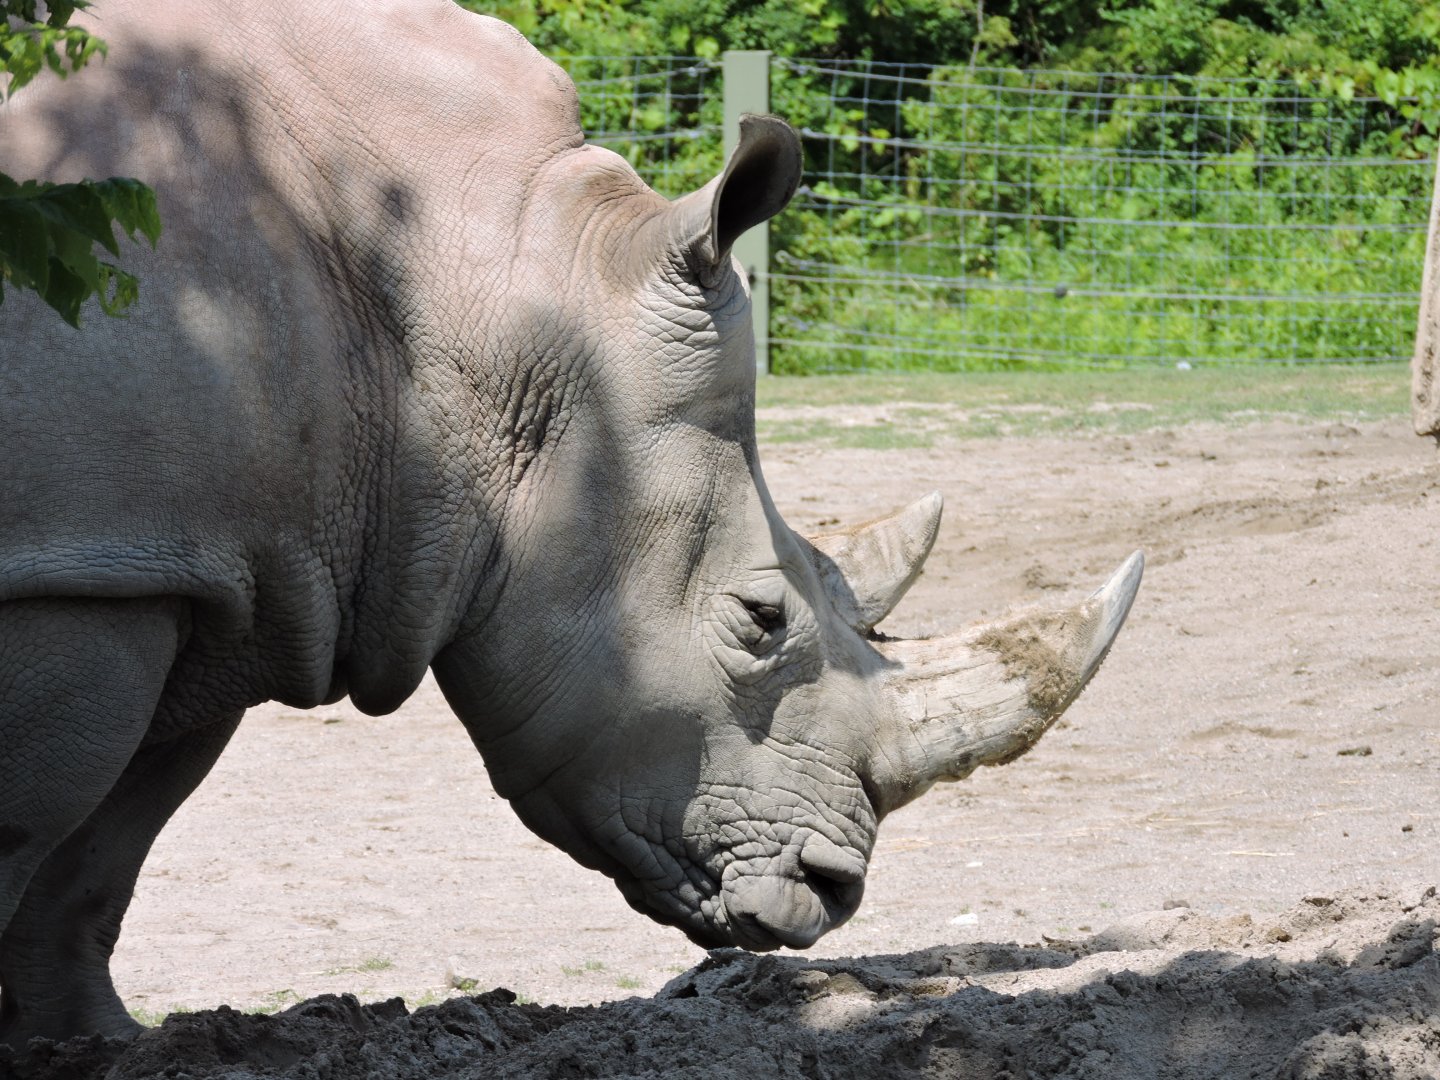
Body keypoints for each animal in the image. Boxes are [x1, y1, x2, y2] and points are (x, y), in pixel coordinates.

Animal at [0, 0, 1142, 1047]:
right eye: (761, 620)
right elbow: (35, 832)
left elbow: (104, 852)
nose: (834, 890)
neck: (492, 287)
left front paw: (100, 1047)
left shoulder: (210, 568)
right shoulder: (88, 570)